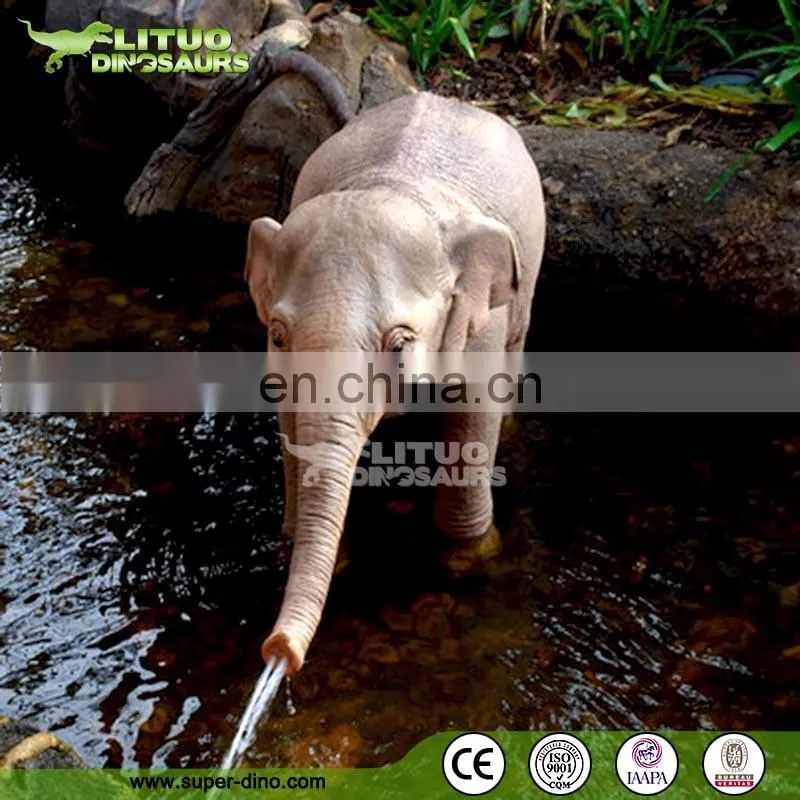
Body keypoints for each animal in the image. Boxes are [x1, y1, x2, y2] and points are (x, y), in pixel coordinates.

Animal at [245, 91, 546, 675]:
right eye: (278, 333)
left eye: (401, 343)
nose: (278, 652)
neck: (394, 185)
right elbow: (291, 424)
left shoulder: (479, 322)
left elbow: (474, 414)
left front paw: (468, 556)